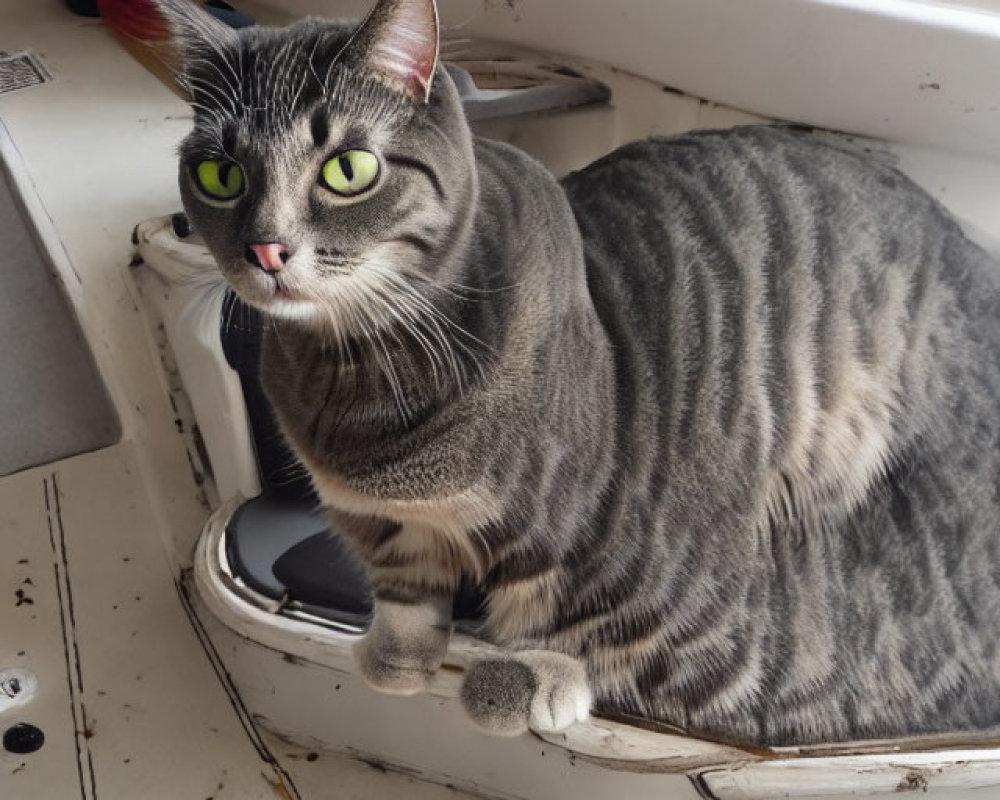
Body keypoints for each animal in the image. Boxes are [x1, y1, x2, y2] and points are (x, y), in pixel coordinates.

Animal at [152, 0, 1000, 748]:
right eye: (220, 174)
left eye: (348, 168)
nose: (265, 248)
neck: (353, 369)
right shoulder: (372, 518)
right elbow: (403, 587)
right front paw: (400, 652)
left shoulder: (617, 539)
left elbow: (613, 630)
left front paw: (529, 679)